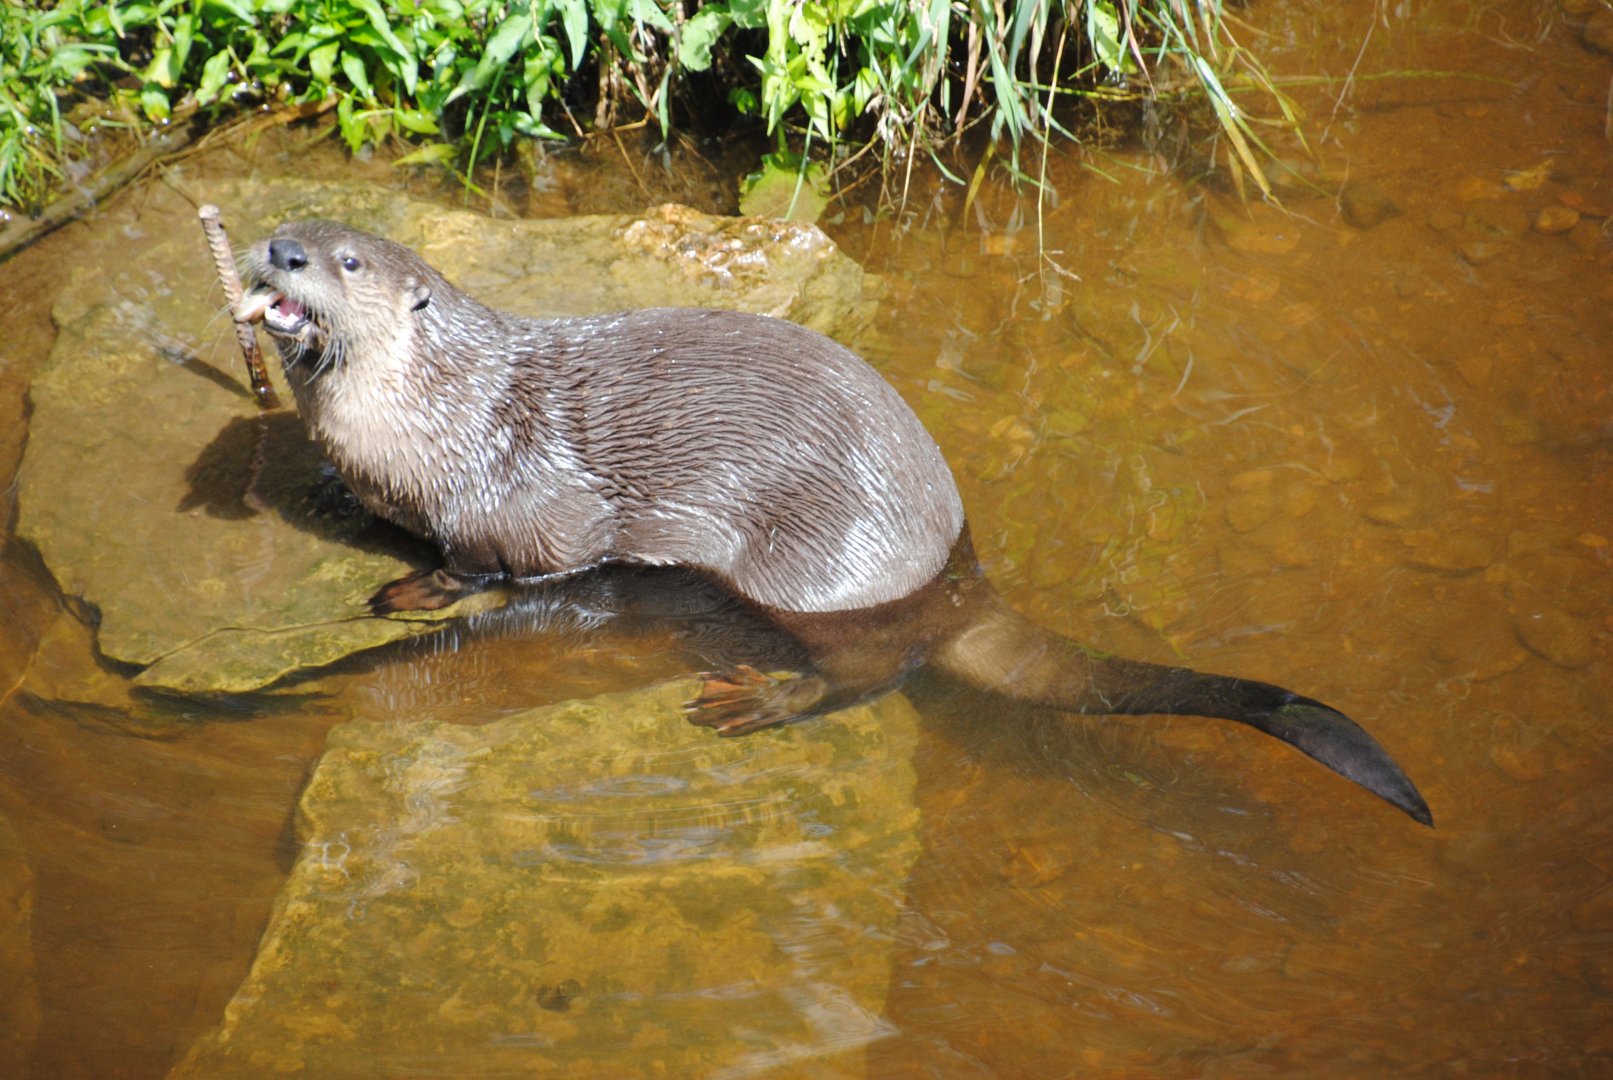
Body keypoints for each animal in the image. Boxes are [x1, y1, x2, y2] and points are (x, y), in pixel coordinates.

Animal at [237, 218, 1431, 827]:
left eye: (346, 260)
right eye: (291, 225)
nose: (276, 254)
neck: (444, 414)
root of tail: (952, 559)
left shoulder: (527, 501)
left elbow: (504, 569)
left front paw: (417, 588)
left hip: (816, 571)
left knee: (869, 673)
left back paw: (761, 699)